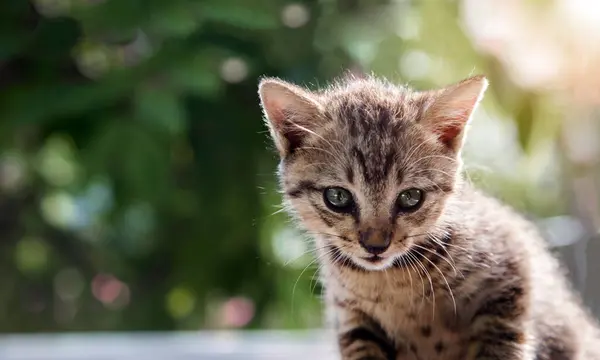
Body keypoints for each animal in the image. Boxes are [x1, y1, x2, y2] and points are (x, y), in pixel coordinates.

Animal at [258, 74, 600, 360]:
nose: (375, 245)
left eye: (411, 198)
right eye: (338, 197)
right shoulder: (352, 320)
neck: (389, 281)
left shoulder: (511, 283)